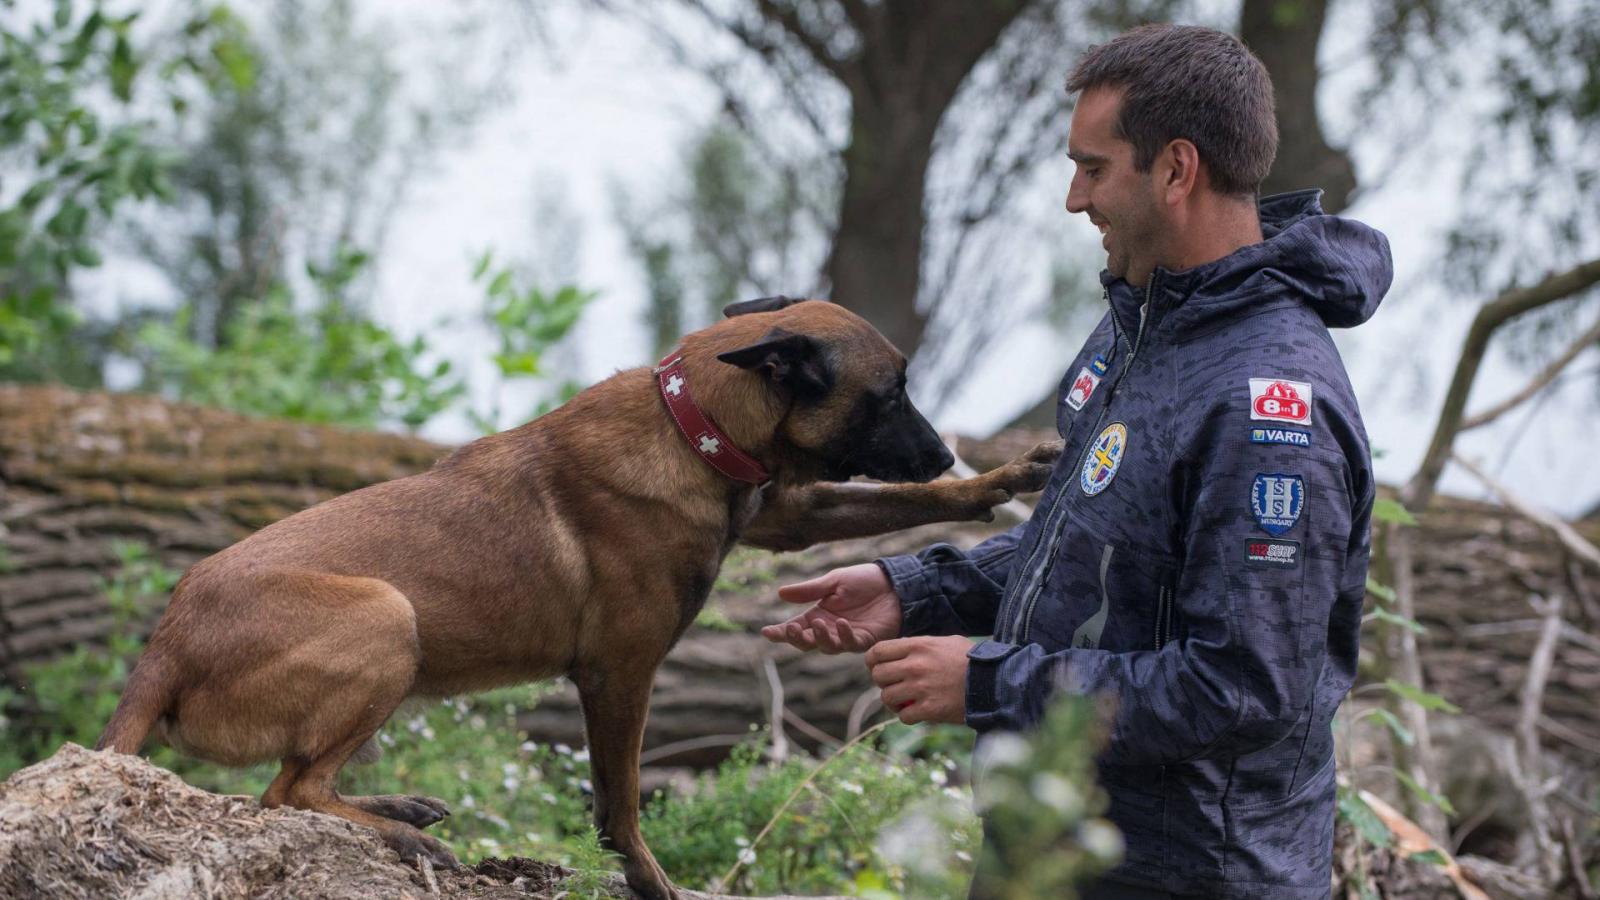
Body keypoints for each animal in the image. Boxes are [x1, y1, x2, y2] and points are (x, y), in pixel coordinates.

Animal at [93, 296, 1056, 896]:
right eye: (888, 393)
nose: (944, 452)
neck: (691, 422)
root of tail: (164, 643)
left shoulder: (783, 511)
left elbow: (896, 506)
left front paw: (1003, 480)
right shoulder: (619, 675)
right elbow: (618, 806)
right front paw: (651, 883)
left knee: (293, 786)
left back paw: (397, 811)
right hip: (388, 616)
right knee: (286, 793)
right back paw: (402, 832)